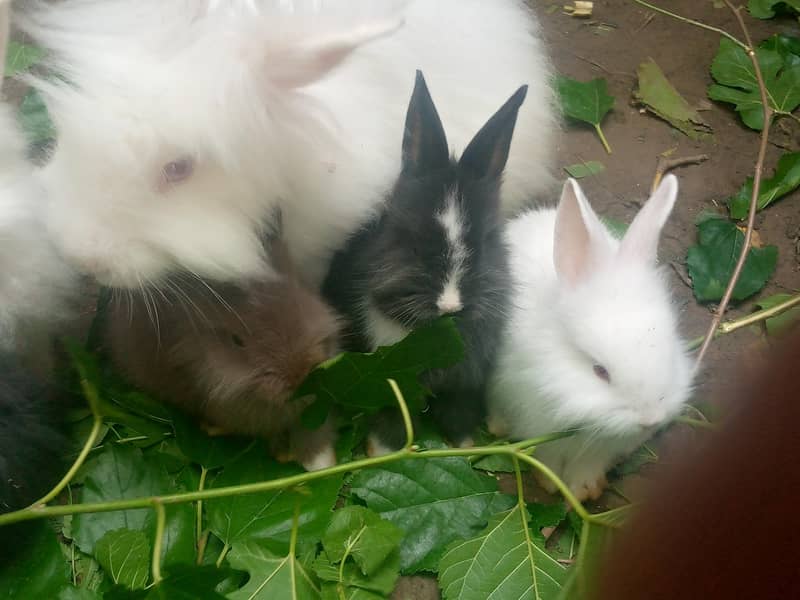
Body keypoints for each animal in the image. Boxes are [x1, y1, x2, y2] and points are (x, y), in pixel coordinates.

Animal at [323, 71, 524, 450]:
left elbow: (461, 418)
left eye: (484, 245)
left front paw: (466, 447)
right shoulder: (390, 387)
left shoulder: (465, 384)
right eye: (413, 244)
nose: (450, 306)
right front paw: (381, 451)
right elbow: (391, 427)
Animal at [486, 175, 694, 502]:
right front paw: (550, 484)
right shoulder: (537, 421)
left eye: (669, 354)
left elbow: (589, 465)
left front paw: (586, 490)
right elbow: (547, 457)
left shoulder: (602, 448)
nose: (649, 419)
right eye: (599, 371)